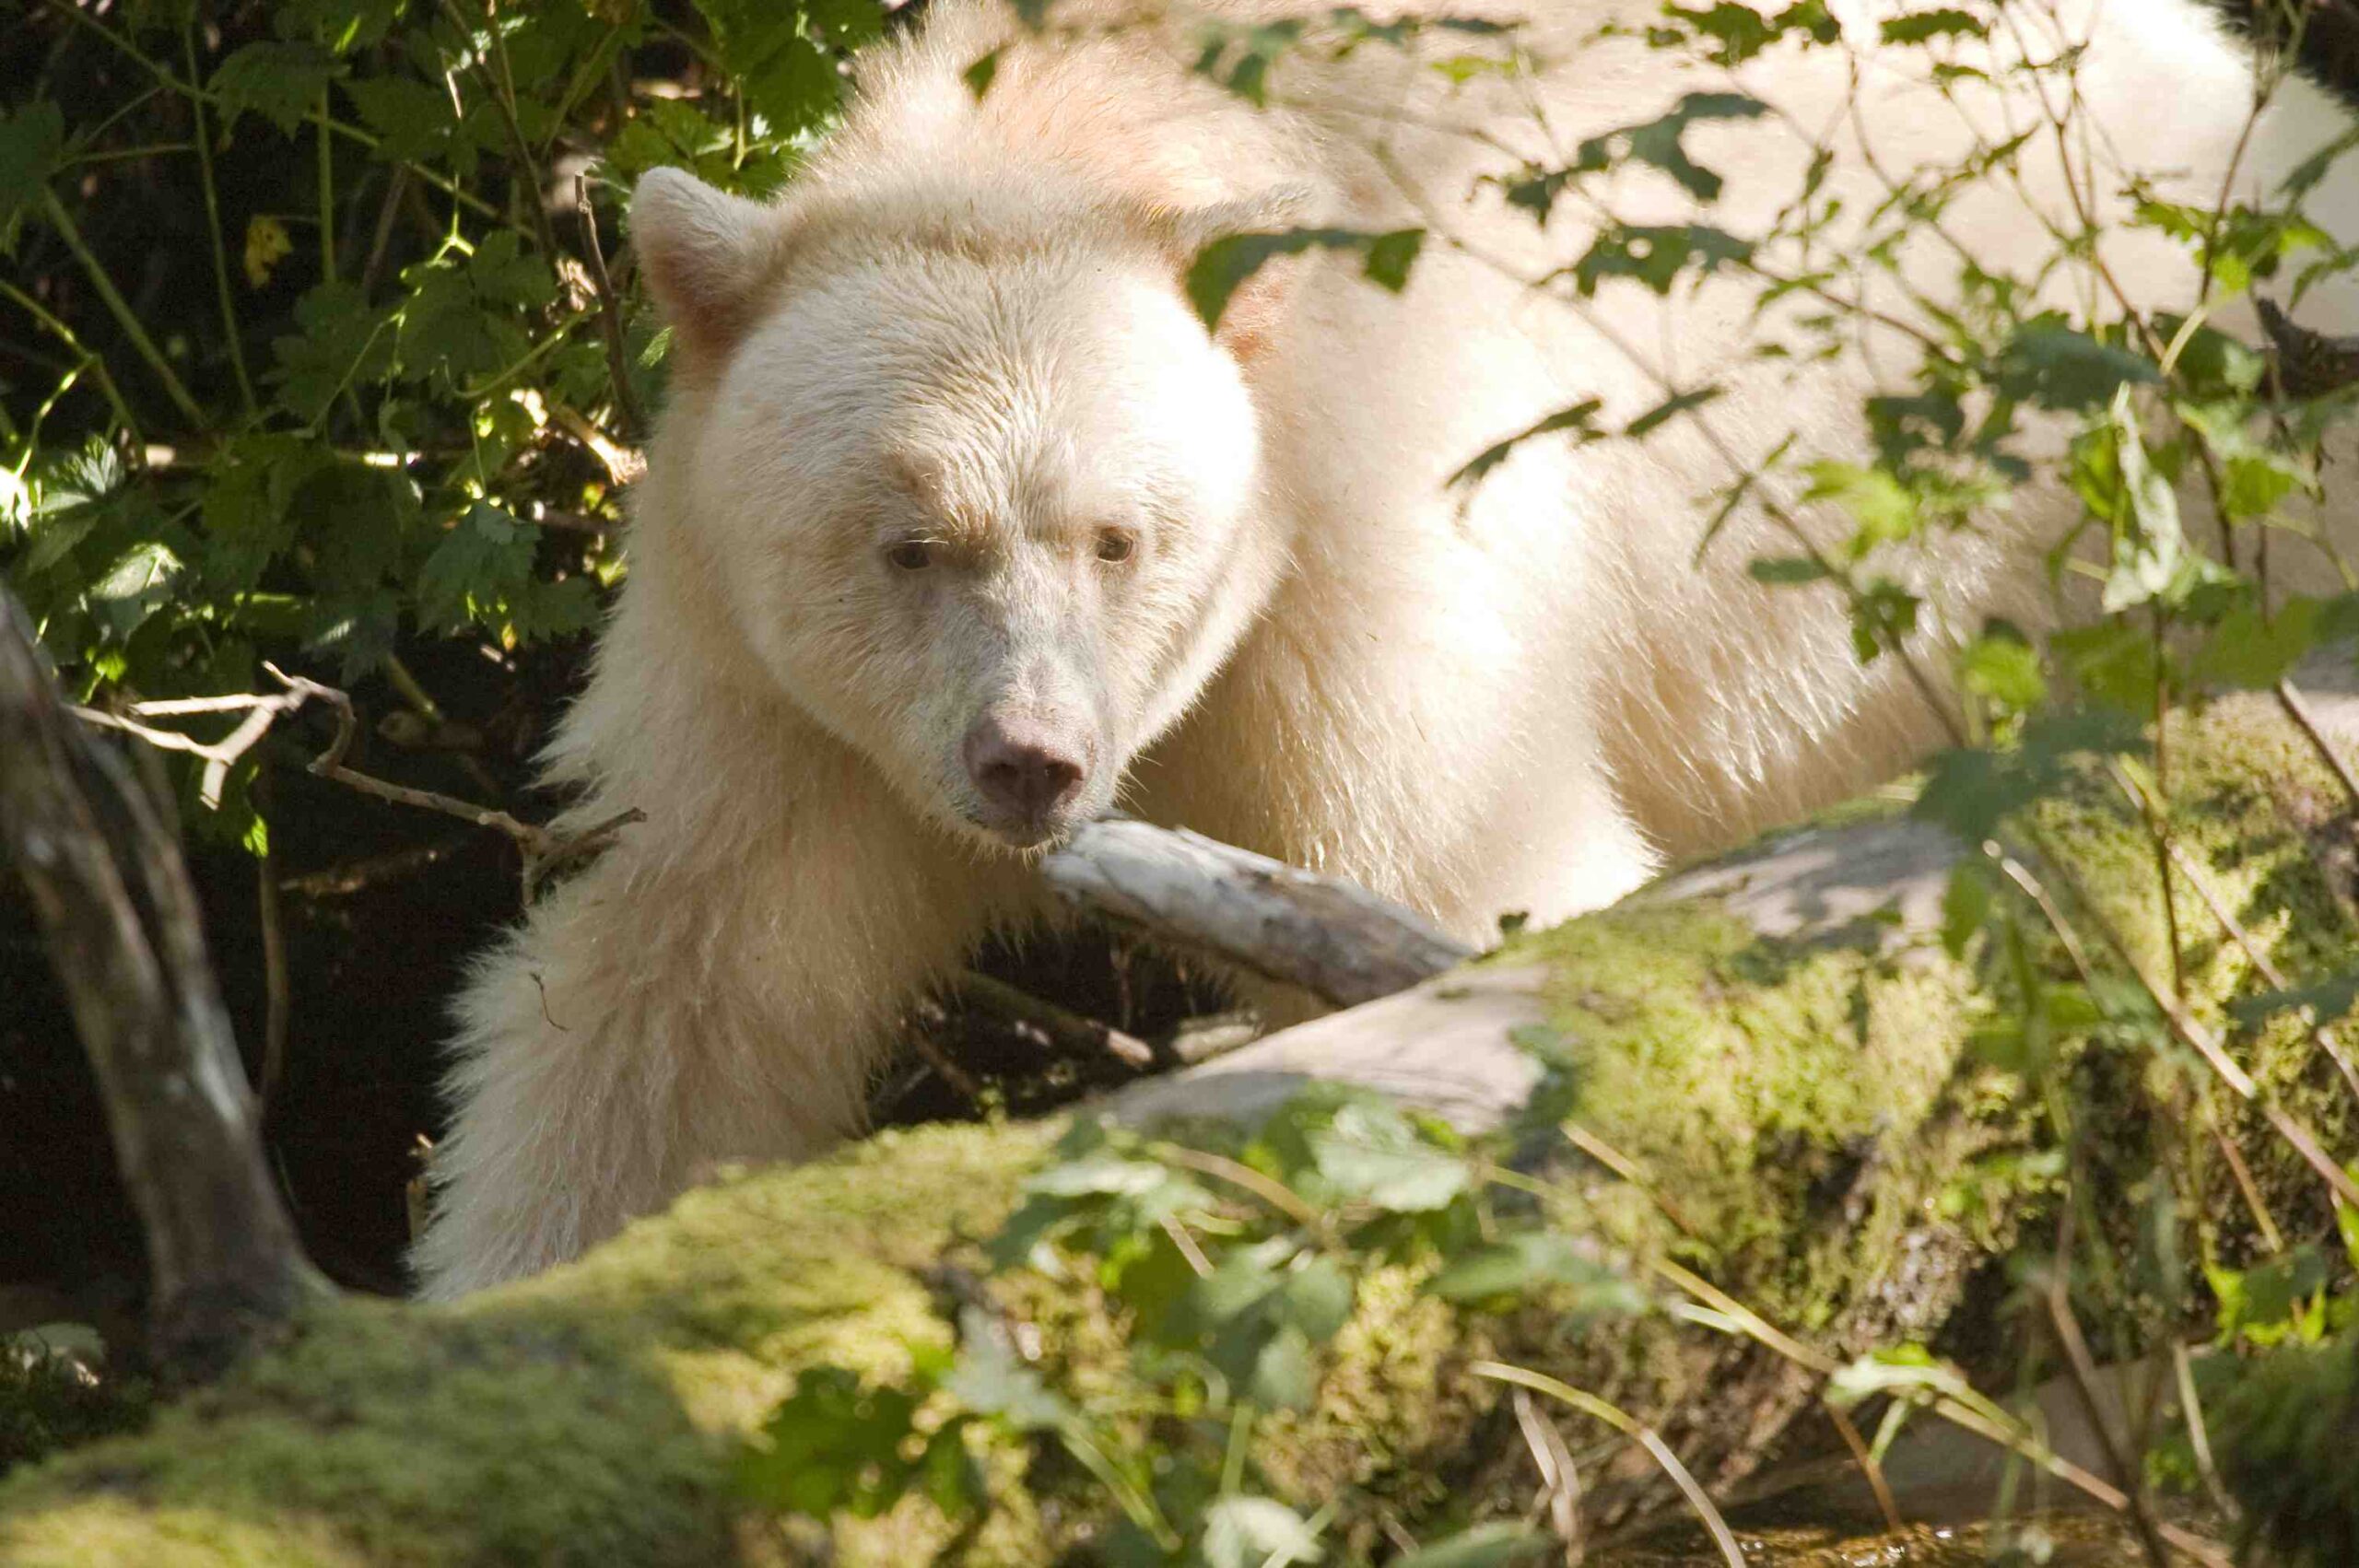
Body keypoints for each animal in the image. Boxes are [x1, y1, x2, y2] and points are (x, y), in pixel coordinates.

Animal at [411, 0, 2359, 1299]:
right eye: (909, 542)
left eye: (1121, 535)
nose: (1027, 761)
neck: (1109, 119)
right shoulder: (769, 693)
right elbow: (683, 984)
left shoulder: (1364, 556)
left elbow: (1475, 876)